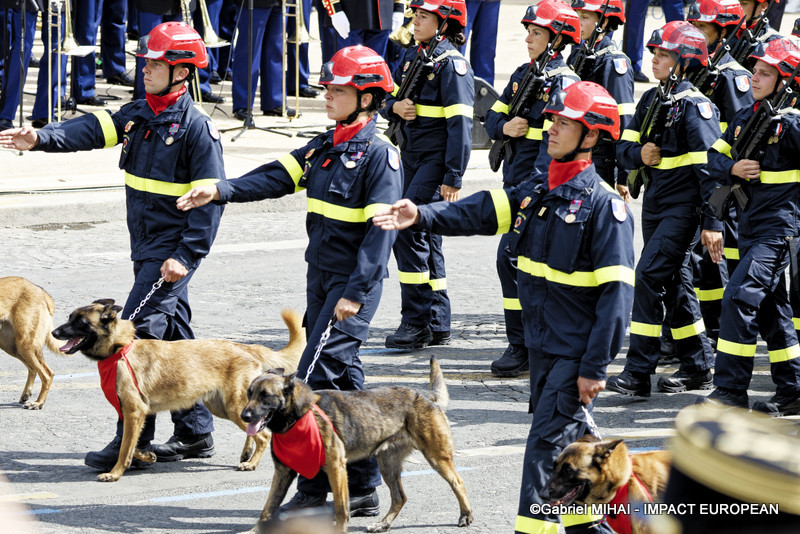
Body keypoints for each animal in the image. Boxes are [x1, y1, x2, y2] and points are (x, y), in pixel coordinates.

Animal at [0, 276, 61, 410]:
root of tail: (41, 291)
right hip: (13, 346)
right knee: (33, 369)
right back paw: (27, 395)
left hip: (24, 345)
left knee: (47, 374)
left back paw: (38, 403)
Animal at [50, 300, 306, 484]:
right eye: (70, 318)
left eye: (81, 322)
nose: (52, 333)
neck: (120, 349)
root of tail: (245, 346)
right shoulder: (136, 414)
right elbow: (133, 444)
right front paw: (147, 456)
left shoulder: (133, 412)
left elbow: (124, 448)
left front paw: (115, 473)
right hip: (225, 407)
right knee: (254, 427)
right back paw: (247, 453)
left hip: (234, 406)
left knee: (263, 435)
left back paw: (251, 463)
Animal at [241, 358, 472, 534]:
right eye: (249, 393)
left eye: (266, 396)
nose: (244, 416)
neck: (298, 417)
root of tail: (424, 394)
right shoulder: (282, 473)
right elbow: (267, 509)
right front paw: (254, 531)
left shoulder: (336, 468)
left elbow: (341, 508)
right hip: (387, 465)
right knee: (399, 497)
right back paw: (383, 524)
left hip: (437, 457)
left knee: (458, 482)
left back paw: (466, 515)